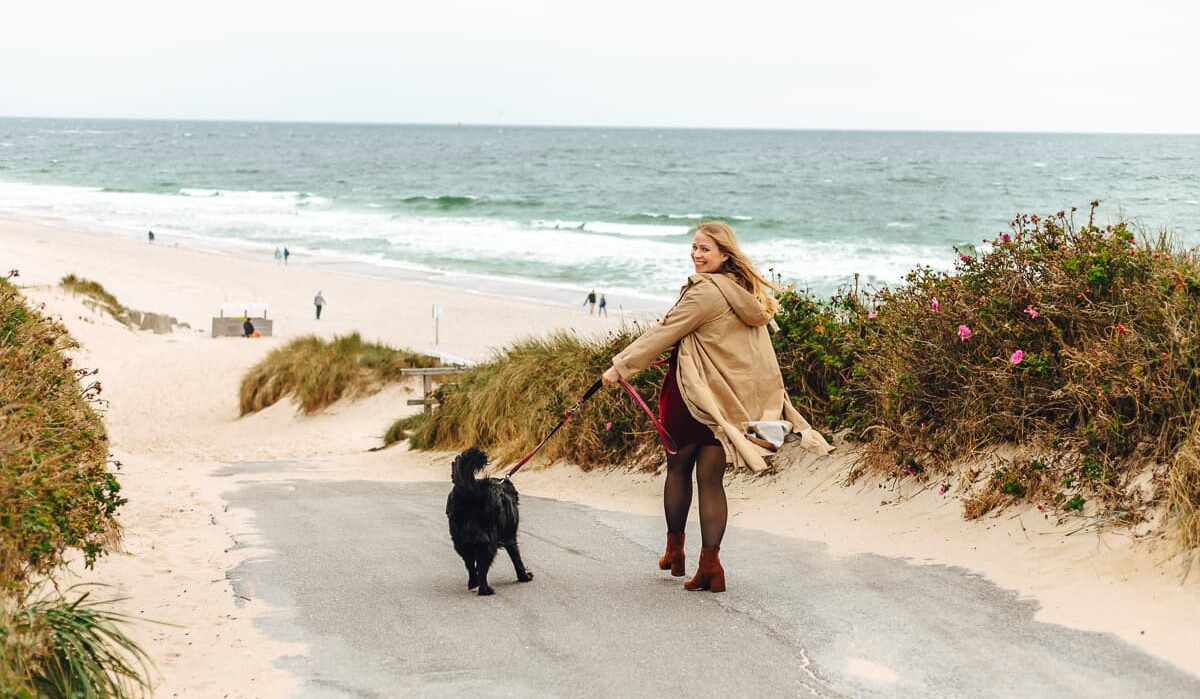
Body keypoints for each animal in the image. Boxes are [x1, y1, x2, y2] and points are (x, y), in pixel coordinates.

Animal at [446, 449, 535, 598]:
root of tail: (473, 492)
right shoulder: (510, 537)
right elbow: (517, 559)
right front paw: (524, 577)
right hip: (487, 542)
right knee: (482, 569)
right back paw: (485, 590)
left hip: (462, 542)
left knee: (470, 565)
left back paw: (473, 583)